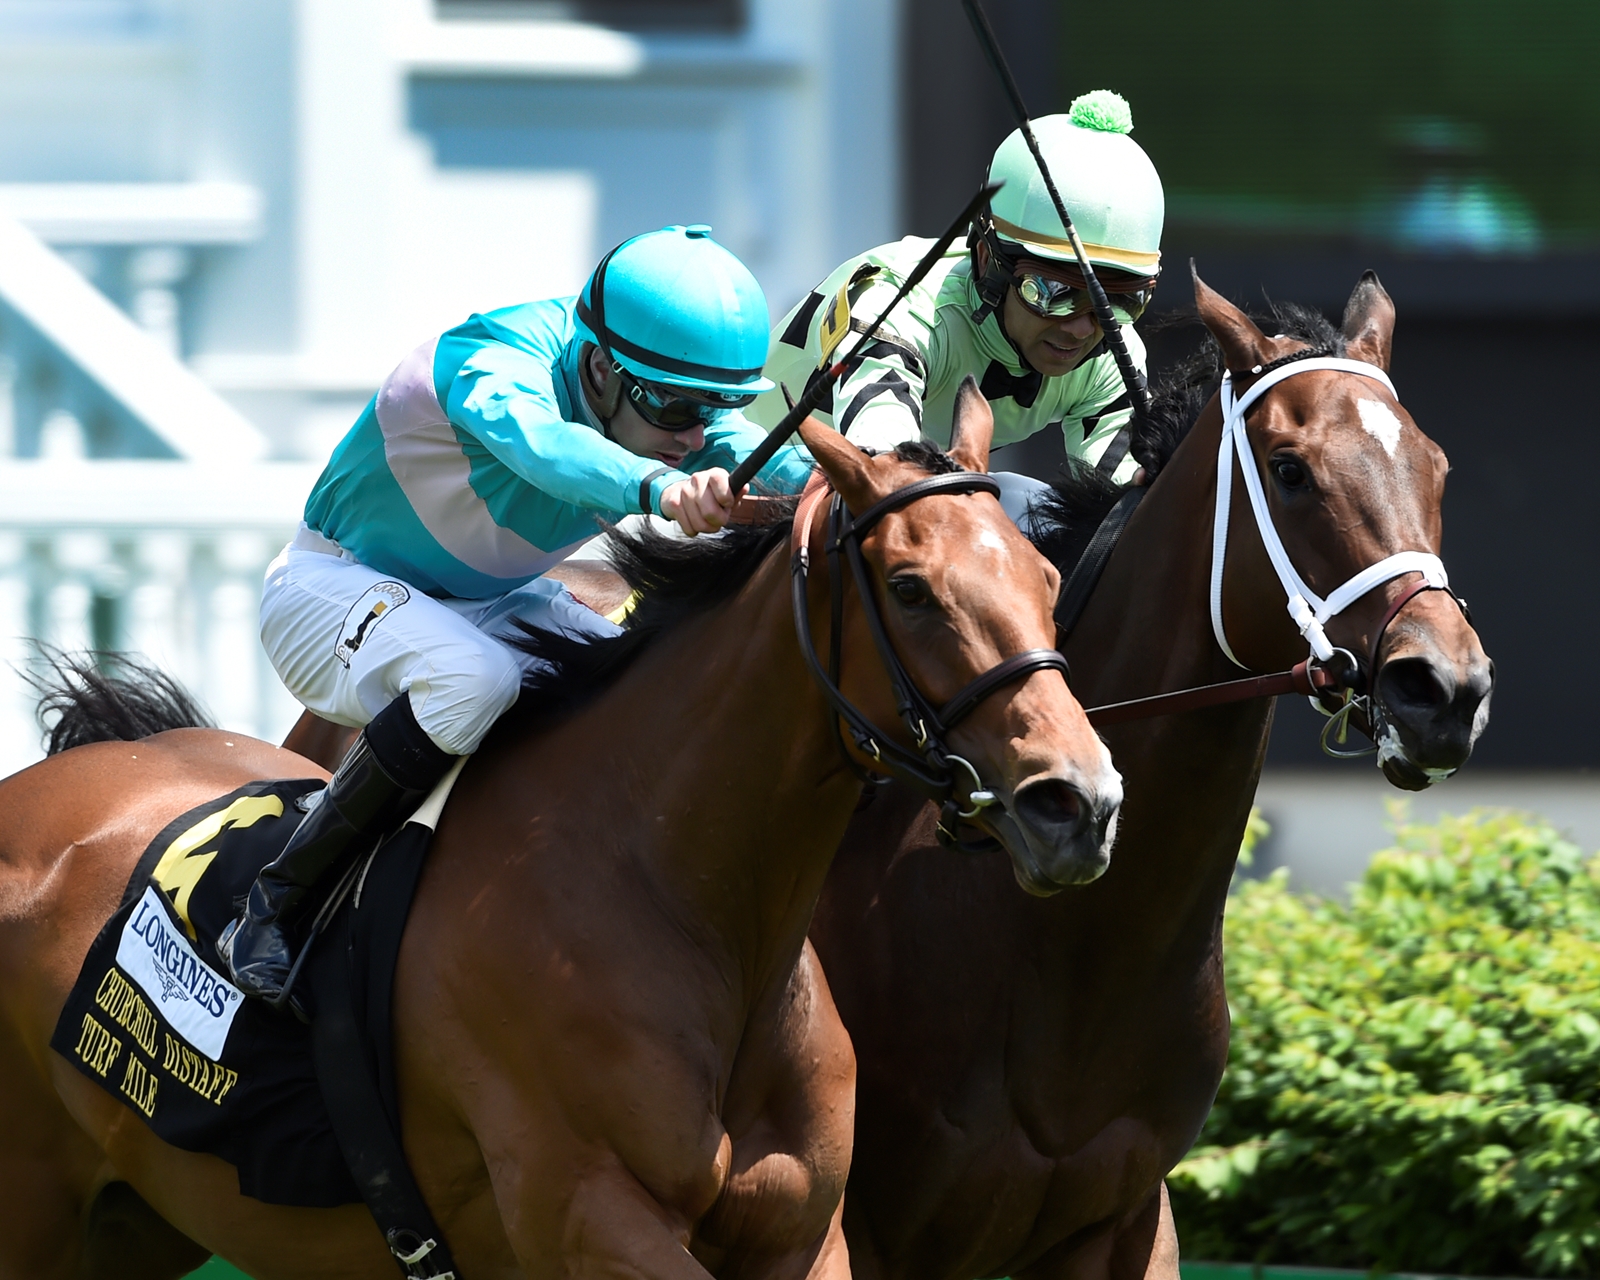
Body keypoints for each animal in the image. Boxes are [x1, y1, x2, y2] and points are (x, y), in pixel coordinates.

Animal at [0, 395, 1120, 1280]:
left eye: (1044, 573)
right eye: (911, 588)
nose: (1078, 803)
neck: (682, 901)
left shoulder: (805, 1235)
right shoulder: (588, 1218)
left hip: (134, 1222)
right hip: (37, 1220)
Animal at [812, 270, 1497, 1280]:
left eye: (1436, 467)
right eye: (1291, 471)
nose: (1444, 689)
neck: (1074, 957)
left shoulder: (1126, 1217)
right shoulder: (864, 1220)